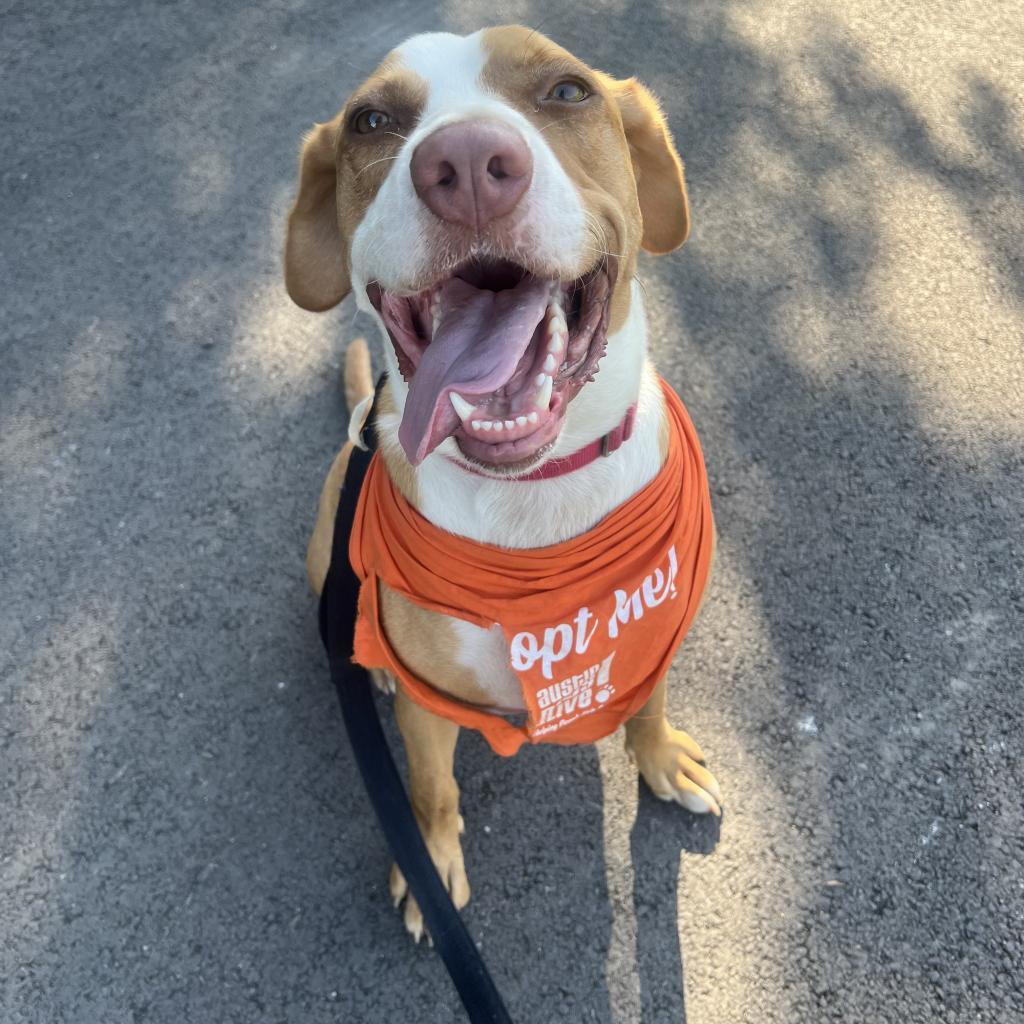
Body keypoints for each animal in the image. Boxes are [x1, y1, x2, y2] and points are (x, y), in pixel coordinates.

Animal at [286, 25, 720, 942]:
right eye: (371, 120)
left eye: (567, 91)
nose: (466, 162)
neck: (534, 498)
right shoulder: (426, 715)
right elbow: (430, 788)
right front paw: (430, 865)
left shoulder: (656, 625)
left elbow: (647, 702)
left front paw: (661, 759)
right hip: (323, 549)